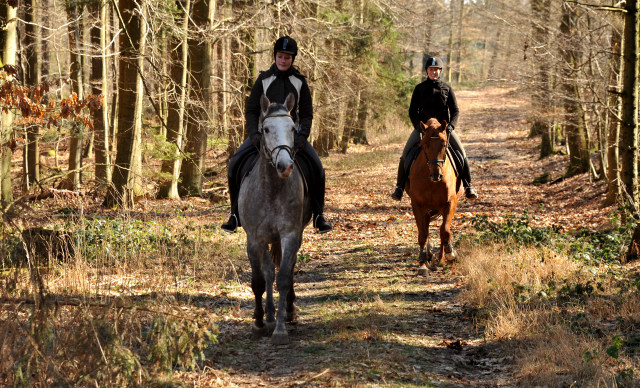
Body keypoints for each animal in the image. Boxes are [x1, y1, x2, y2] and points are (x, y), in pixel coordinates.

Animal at [238, 92, 312, 344]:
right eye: (267, 129)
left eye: (292, 128)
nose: (285, 166)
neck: (271, 188)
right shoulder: (255, 239)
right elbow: (259, 281)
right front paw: (260, 323)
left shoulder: (290, 235)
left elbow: (284, 278)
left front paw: (280, 328)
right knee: (269, 272)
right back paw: (269, 316)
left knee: (286, 269)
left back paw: (287, 312)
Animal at [408, 118, 462, 276]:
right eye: (425, 144)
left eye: (444, 144)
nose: (436, 175)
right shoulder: (417, 205)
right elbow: (422, 234)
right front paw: (422, 264)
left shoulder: (450, 203)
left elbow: (444, 230)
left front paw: (450, 254)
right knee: (426, 228)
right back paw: (429, 256)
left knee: (442, 231)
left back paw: (440, 258)